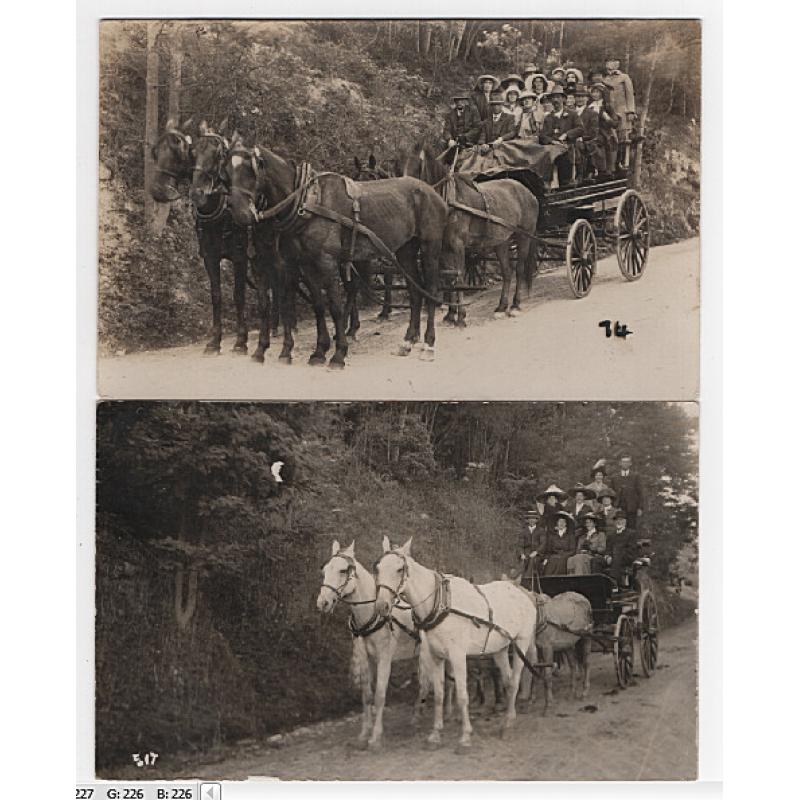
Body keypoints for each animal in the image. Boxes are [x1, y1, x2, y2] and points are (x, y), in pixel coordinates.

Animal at [228, 145, 446, 366]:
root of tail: (431, 192)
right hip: (405, 250)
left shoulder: (326, 262)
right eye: (227, 173)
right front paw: (319, 352)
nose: (239, 214)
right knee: (415, 292)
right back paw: (407, 342)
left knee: (431, 291)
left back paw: (429, 344)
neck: (309, 202)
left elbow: (334, 306)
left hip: (430, 248)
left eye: (250, 171)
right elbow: (318, 305)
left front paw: (338, 353)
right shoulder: (306, 264)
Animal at [316, 536, 424, 752]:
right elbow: (366, 695)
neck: (370, 615)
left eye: (343, 570)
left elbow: (380, 696)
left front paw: (375, 737)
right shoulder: (366, 658)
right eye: (324, 570)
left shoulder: (384, 659)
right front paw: (363, 735)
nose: (322, 602)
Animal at [376, 536, 536, 752]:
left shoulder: (458, 656)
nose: (381, 606)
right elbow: (439, 695)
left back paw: (507, 725)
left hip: (522, 642)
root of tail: (523, 593)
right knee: (509, 681)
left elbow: (462, 695)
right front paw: (435, 735)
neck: (441, 604)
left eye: (400, 569)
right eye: (377, 568)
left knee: (516, 680)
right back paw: (507, 720)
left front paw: (465, 737)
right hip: (500, 649)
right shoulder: (435, 656)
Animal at [398, 142, 540, 324]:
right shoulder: (444, 249)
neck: (448, 203)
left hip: (524, 236)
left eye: (418, 167)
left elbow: (459, 278)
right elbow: (449, 279)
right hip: (501, 241)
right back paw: (501, 307)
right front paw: (451, 314)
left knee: (519, 269)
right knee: (507, 272)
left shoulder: (458, 246)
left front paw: (461, 316)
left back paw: (515, 305)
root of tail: (529, 192)